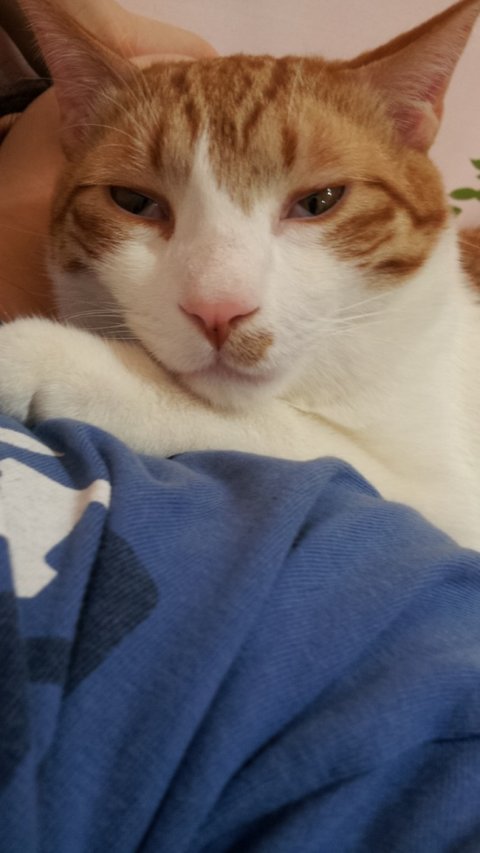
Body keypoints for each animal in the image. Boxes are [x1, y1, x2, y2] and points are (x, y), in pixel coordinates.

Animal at [0, 0, 479, 549]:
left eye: (320, 201)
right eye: (133, 201)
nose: (217, 309)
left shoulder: (448, 503)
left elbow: (286, 434)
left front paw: (68, 364)